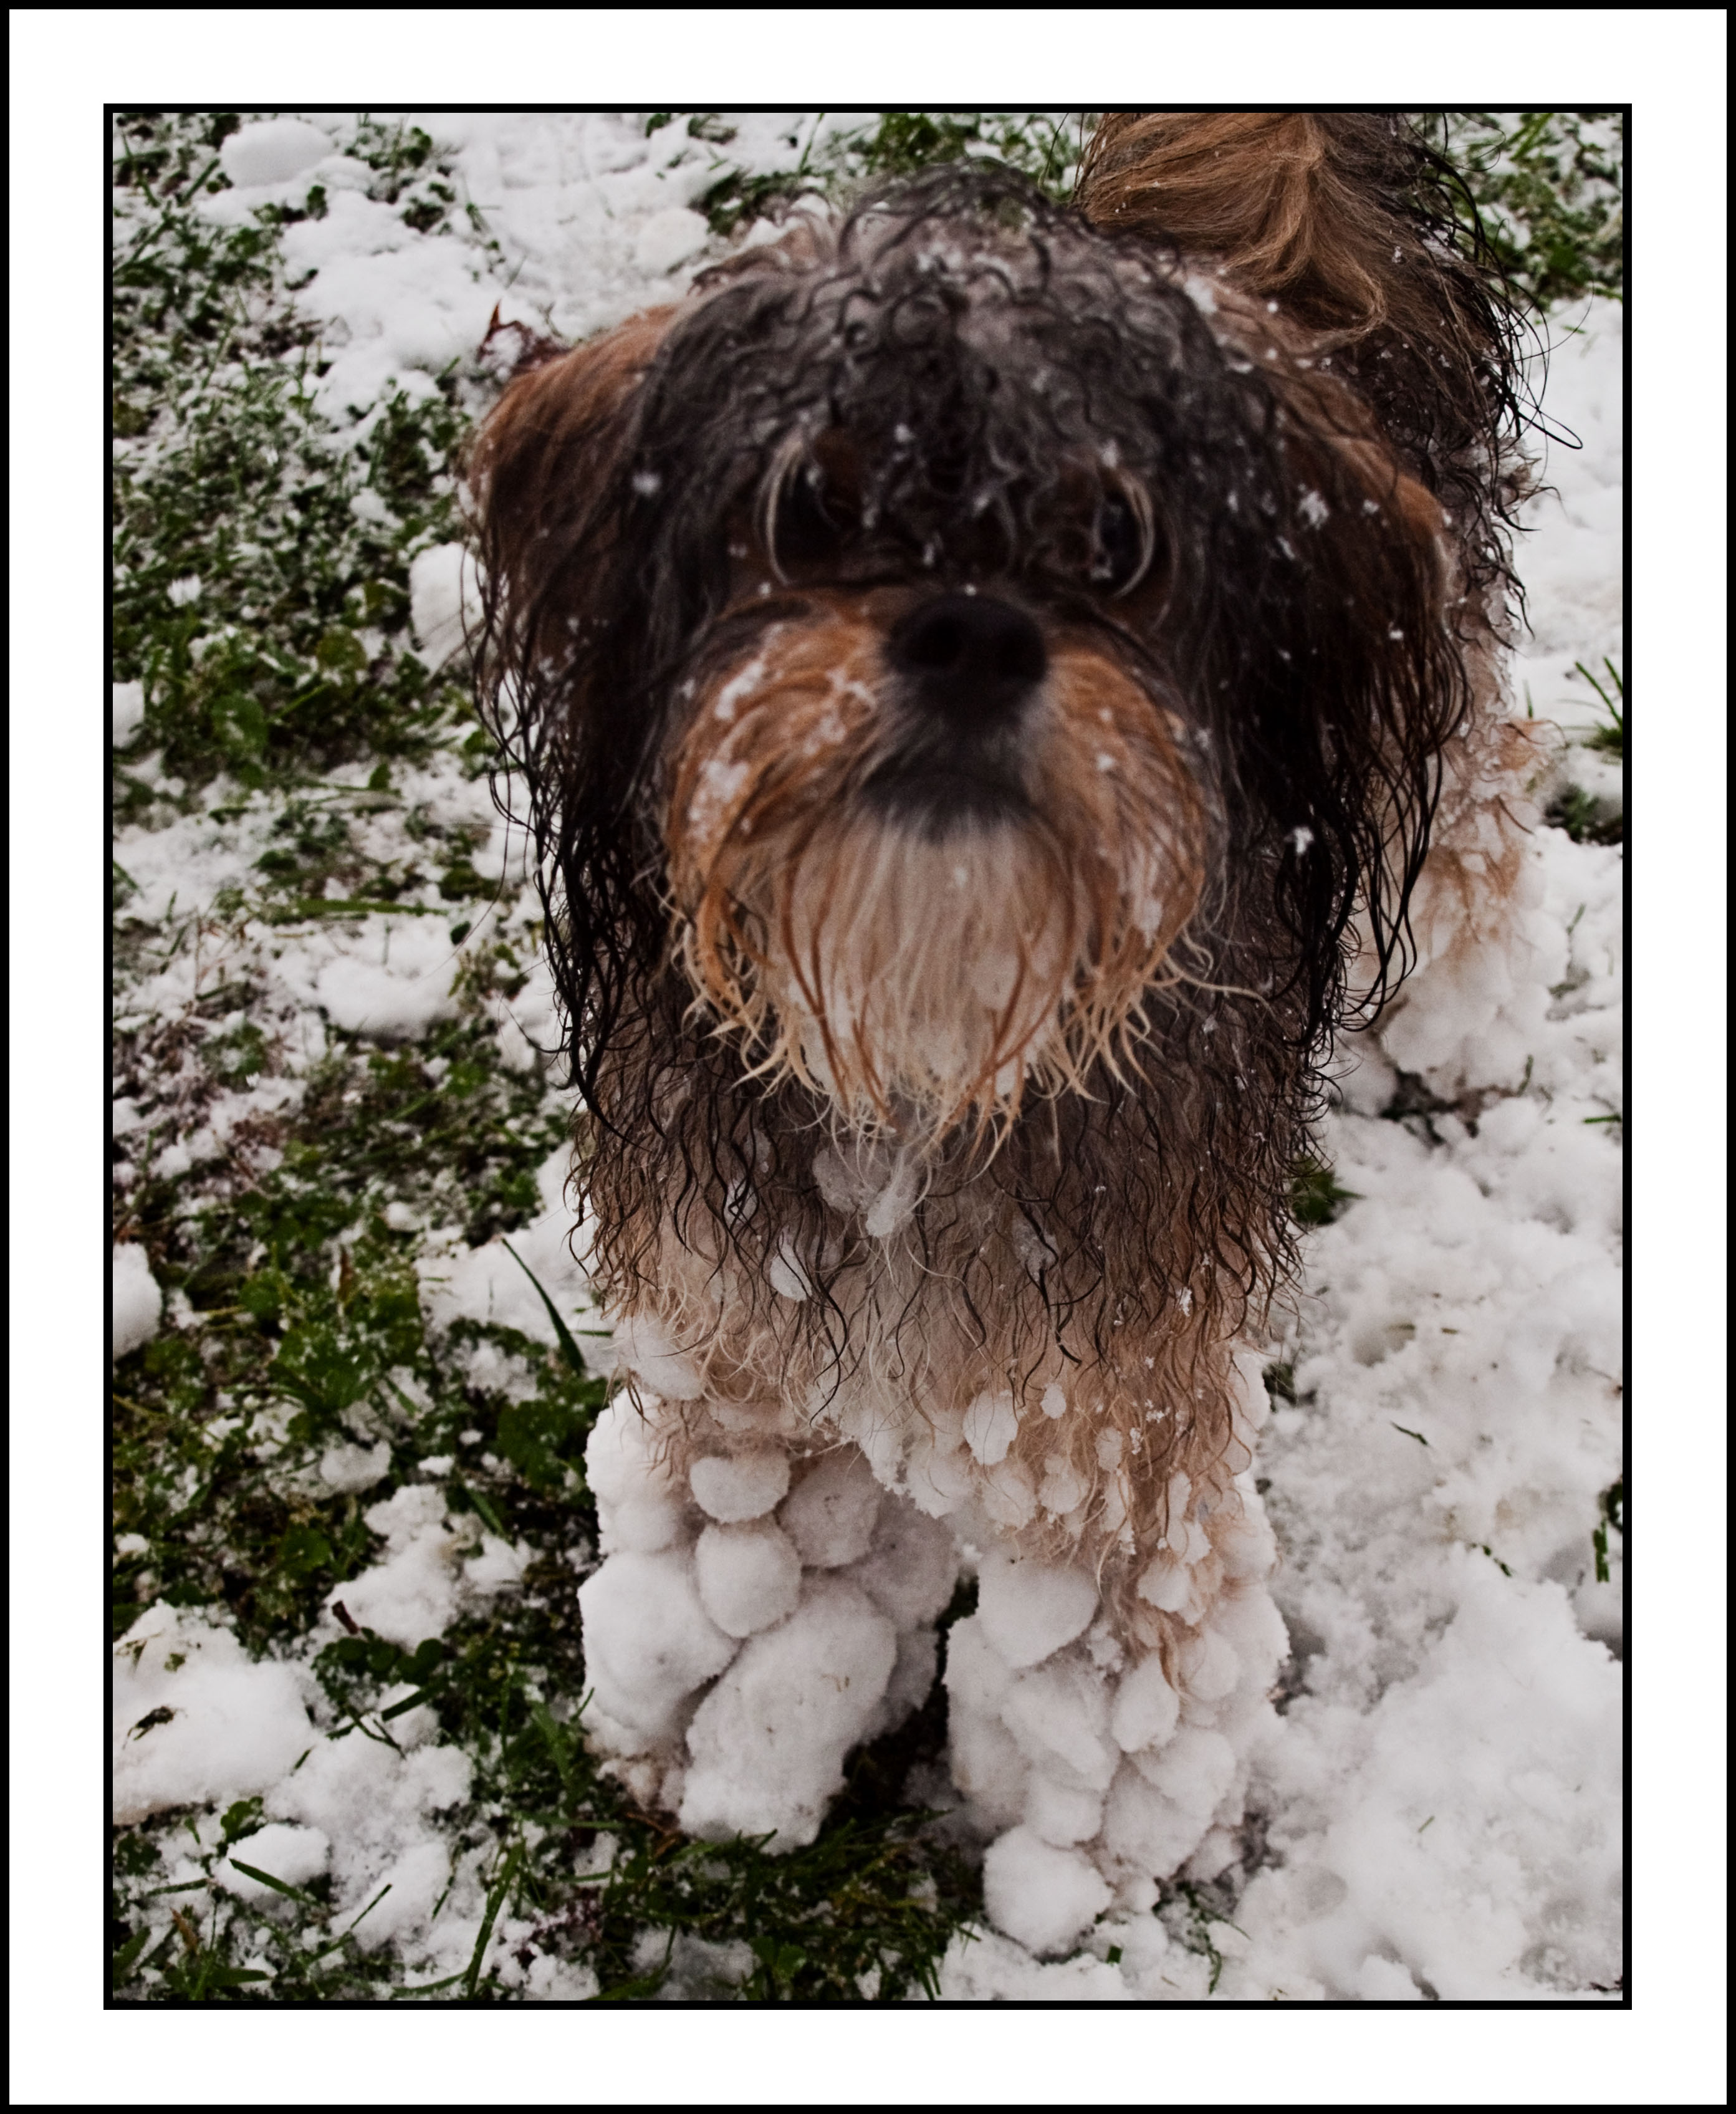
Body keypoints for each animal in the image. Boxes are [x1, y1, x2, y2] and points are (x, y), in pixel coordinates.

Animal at [469, 112, 1536, 1955]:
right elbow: (763, 1542)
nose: (968, 628)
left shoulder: (1107, 1374)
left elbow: (1106, 1636)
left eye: (1111, 537)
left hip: (1437, 685)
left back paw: (1459, 1025)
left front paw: (1085, 1861)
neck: (925, 1009)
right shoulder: (744, 1308)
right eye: (811, 504)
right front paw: (726, 1733)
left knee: (1480, 792)